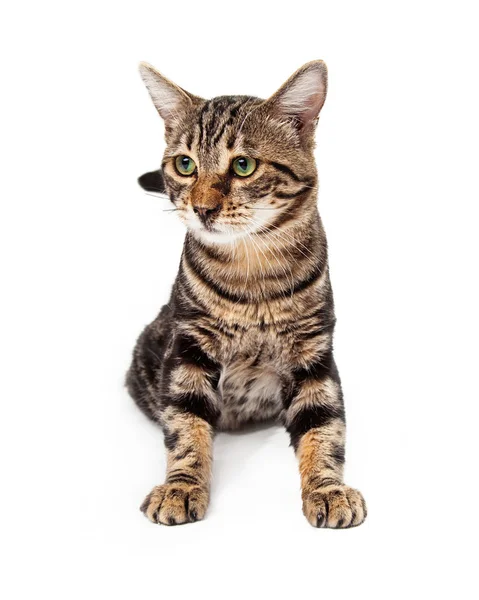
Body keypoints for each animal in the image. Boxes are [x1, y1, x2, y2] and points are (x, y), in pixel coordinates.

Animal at [127, 61, 368, 528]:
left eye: (243, 166)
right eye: (185, 164)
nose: (202, 208)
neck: (251, 273)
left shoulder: (315, 353)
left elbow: (325, 427)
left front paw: (328, 489)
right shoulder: (188, 347)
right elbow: (185, 424)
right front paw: (181, 487)